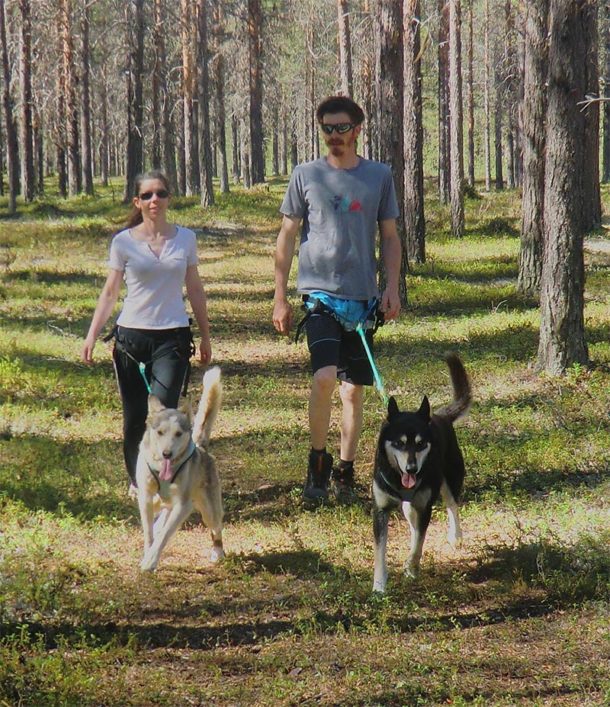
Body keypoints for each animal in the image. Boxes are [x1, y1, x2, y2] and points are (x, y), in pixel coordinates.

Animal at [134, 368, 224, 572]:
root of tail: (200, 447)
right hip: (163, 503)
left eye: (178, 433)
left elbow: (164, 535)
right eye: (159, 432)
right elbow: (149, 533)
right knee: (160, 514)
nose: (167, 453)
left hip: (209, 510)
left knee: (216, 527)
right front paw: (147, 554)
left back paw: (218, 551)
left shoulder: (183, 505)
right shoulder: (145, 497)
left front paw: (151, 561)